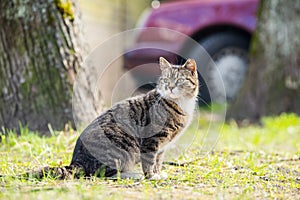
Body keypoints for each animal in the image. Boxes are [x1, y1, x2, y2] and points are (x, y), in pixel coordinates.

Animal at [17, 56, 199, 180]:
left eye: (179, 80)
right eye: (166, 80)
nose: (170, 87)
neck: (181, 103)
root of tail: (77, 161)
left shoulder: (162, 146)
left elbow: (158, 161)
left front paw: (158, 173)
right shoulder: (152, 140)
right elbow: (150, 161)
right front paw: (152, 176)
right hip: (123, 144)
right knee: (104, 173)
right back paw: (132, 174)